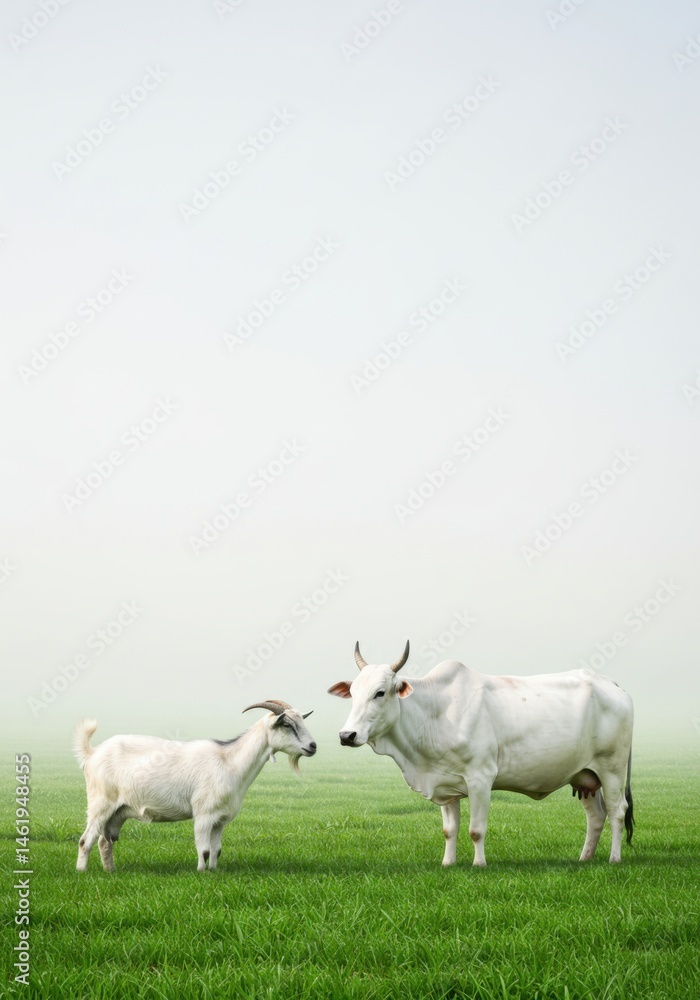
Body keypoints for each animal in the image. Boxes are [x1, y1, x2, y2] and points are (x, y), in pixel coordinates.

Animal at [74, 700, 316, 872]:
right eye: (286, 724)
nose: (313, 746)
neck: (229, 761)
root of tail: (92, 753)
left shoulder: (220, 819)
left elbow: (217, 850)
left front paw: (214, 871)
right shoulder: (204, 814)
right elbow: (205, 850)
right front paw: (201, 872)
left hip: (118, 812)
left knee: (104, 841)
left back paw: (111, 871)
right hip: (101, 804)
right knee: (86, 840)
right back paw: (82, 872)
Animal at [329, 641, 634, 867]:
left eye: (380, 693)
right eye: (353, 693)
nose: (347, 735)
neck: (434, 712)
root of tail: (610, 683)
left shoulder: (480, 778)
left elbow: (476, 829)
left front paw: (479, 864)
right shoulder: (444, 782)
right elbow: (449, 830)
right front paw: (448, 863)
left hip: (612, 769)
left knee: (617, 811)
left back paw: (614, 858)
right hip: (584, 775)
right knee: (596, 816)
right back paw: (585, 858)